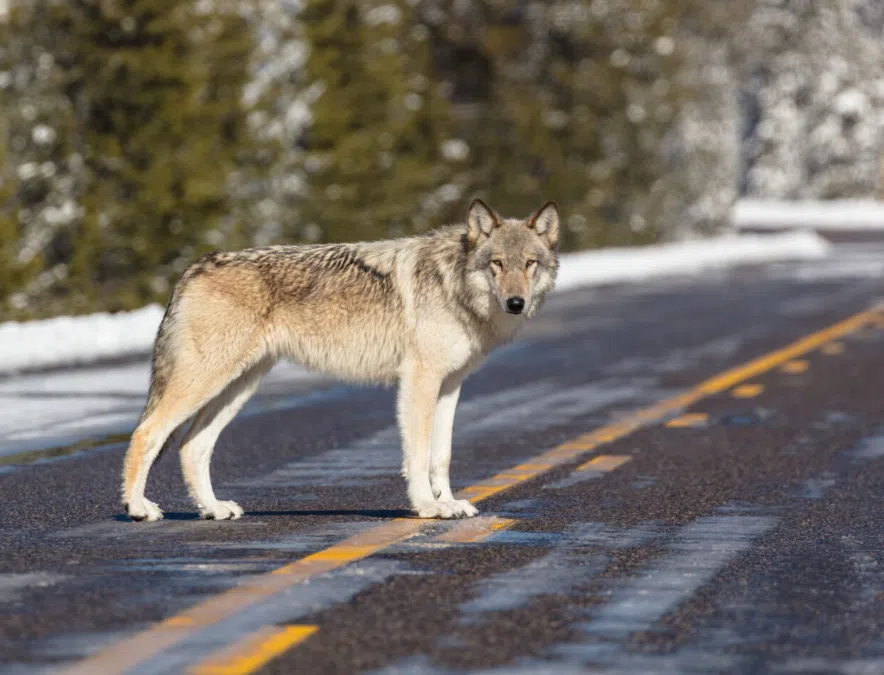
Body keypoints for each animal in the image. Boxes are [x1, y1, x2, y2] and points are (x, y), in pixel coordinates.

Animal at [121, 199, 559, 522]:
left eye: (529, 264)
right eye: (497, 263)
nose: (516, 303)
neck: (455, 285)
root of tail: (195, 266)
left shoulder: (450, 384)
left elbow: (442, 455)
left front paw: (448, 502)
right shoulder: (419, 381)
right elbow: (418, 455)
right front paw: (427, 507)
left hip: (238, 388)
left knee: (192, 446)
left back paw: (213, 509)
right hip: (206, 382)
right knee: (147, 432)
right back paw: (139, 508)